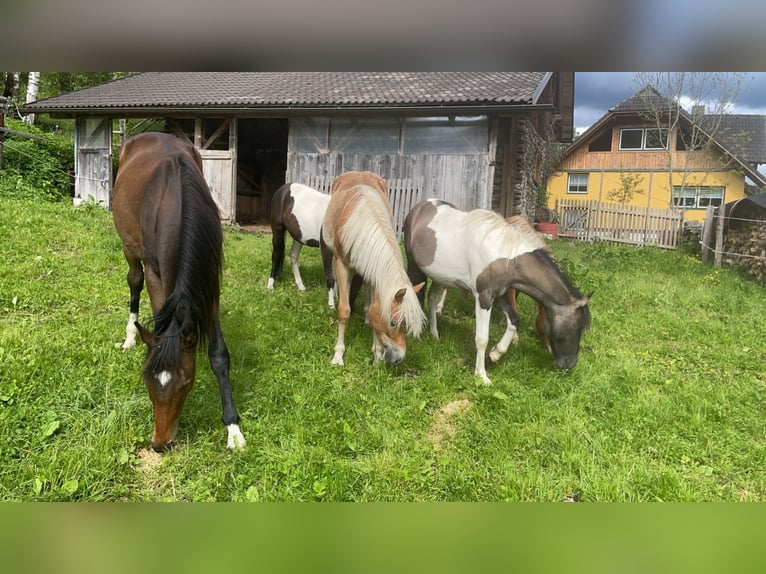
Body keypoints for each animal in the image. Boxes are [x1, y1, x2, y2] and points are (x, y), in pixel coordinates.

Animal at [112, 132, 244, 454]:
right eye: (147, 382)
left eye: (185, 383)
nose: (160, 443)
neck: (176, 204)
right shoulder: (155, 272)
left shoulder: (209, 284)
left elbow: (218, 354)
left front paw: (233, 428)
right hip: (129, 248)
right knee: (134, 281)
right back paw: (130, 335)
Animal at [318, 173, 426, 366]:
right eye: (393, 323)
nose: (398, 359)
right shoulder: (342, 265)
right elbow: (344, 311)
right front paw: (338, 355)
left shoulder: (375, 272)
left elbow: (374, 308)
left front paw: (377, 353)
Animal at [402, 199, 592, 388]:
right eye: (577, 327)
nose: (570, 364)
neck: (505, 256)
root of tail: (421, 206)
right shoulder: (484, 297)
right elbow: (482, 338)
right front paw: (481, 376)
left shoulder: (500, 295)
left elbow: (514, 321)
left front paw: (495, 355)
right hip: (414, 266)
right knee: (417, 298)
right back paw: (418, 335)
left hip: (440, 276)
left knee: (432, 298)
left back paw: (435, 334)